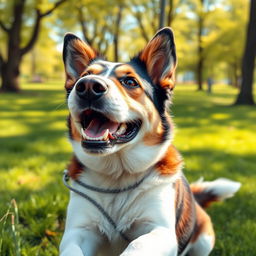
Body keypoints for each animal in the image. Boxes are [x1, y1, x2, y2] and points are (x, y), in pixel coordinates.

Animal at [59, 28, 240, 256]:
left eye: (130, 82)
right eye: (84, 76)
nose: (88, 86)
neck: (118, 177)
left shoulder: (161, 231)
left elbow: (137, 244)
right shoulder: (78, 230)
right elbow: (71, 249)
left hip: (204, 239)